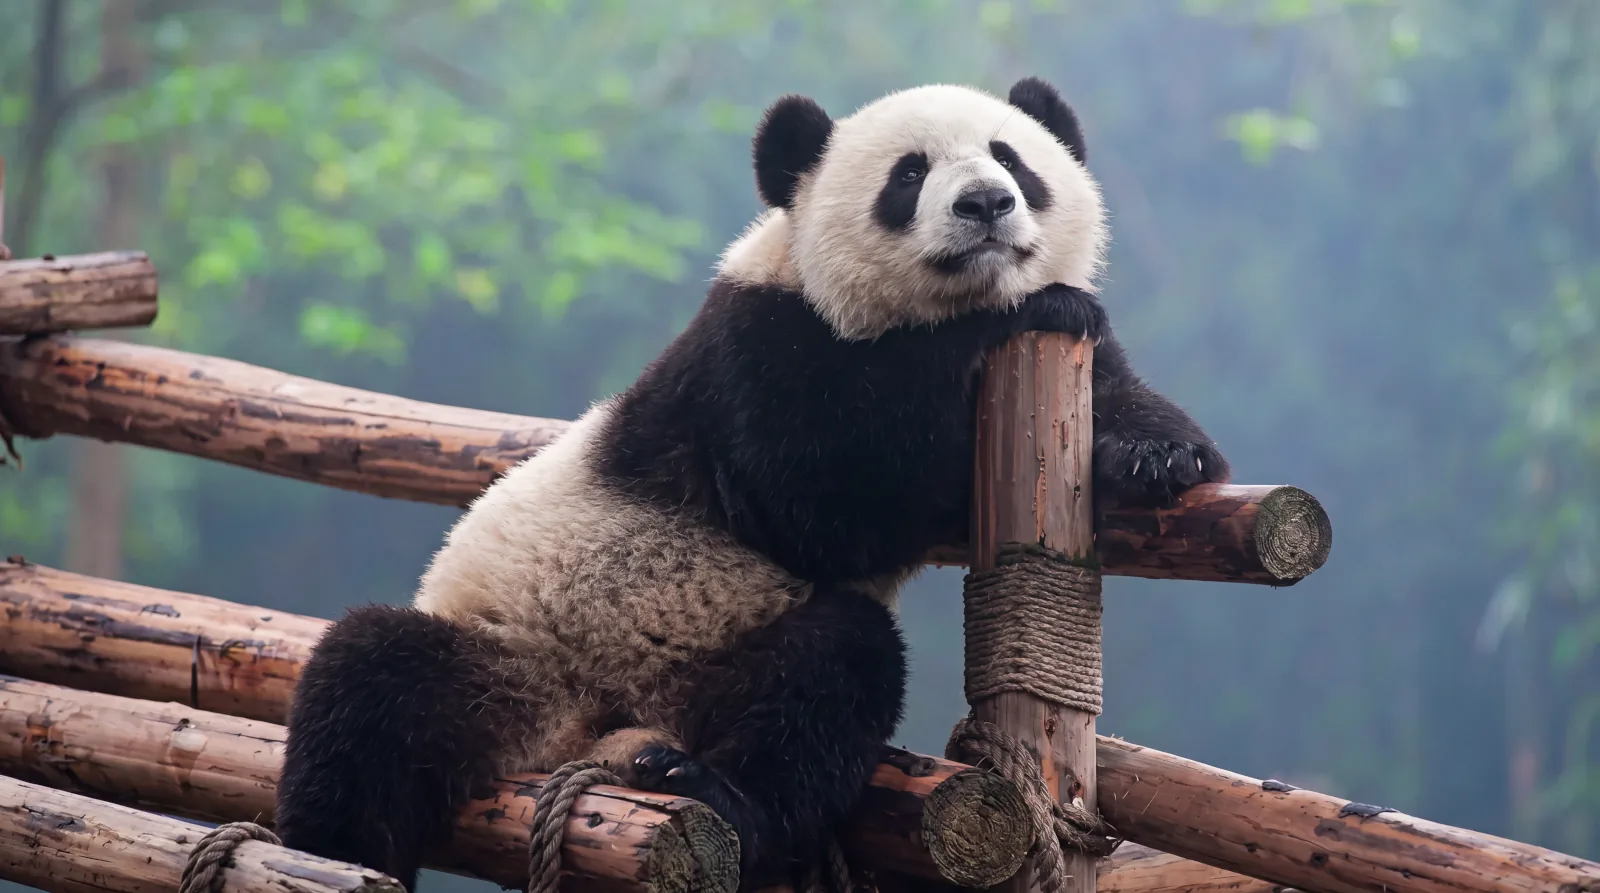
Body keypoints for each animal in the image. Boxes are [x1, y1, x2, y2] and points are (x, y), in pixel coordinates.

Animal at [275, 76, 1229, 892]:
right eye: (910, 173)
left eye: (1012, 157)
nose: (986, 203)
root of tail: (590, 730)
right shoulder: (754, 348)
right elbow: (823, 496)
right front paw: (1024, 314)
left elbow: (1126, 405)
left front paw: (1156, 455)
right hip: (513, 651)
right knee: (367, 691)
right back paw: (338, 851)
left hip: (712, 661)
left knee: (821, 677)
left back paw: (704, 780)